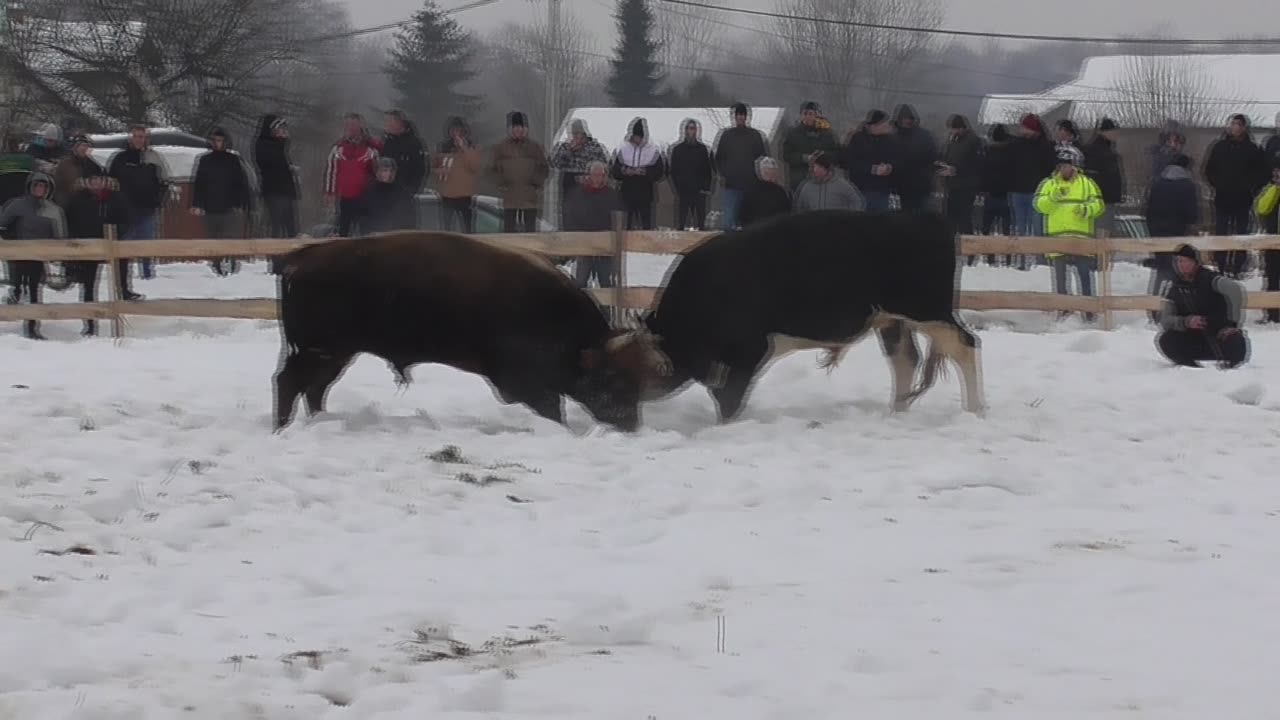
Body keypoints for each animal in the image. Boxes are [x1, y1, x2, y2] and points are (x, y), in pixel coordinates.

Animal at [270, 233, 670, 427]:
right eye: (614, 377)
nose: (630, 423)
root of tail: (301, 257)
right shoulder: (526, 385)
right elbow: (553, 409)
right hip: (317, 350)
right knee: (289, 383)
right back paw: (283, 428)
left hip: (336, 353)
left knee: (314, 388)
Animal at [640, 207, 988, 417]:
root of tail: (928, 218)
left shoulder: (750, 348)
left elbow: (728, 396)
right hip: (891, 318)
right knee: (905, 359)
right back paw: (896, 413)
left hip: (927, 310)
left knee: (964, 345)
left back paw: (974, 411)